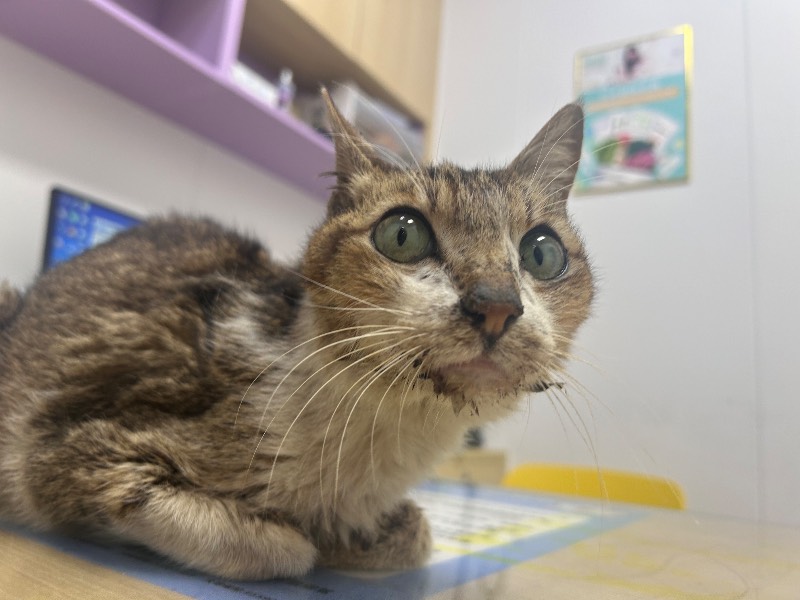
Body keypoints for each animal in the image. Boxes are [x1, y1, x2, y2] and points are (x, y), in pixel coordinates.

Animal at [0, 93, 593, 580]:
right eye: (401, 234)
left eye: (542, 252)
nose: (496, 305)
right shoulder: (66, 454)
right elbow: (281, 550)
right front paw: (307, 541)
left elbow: (415, 534)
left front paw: (362, 538)